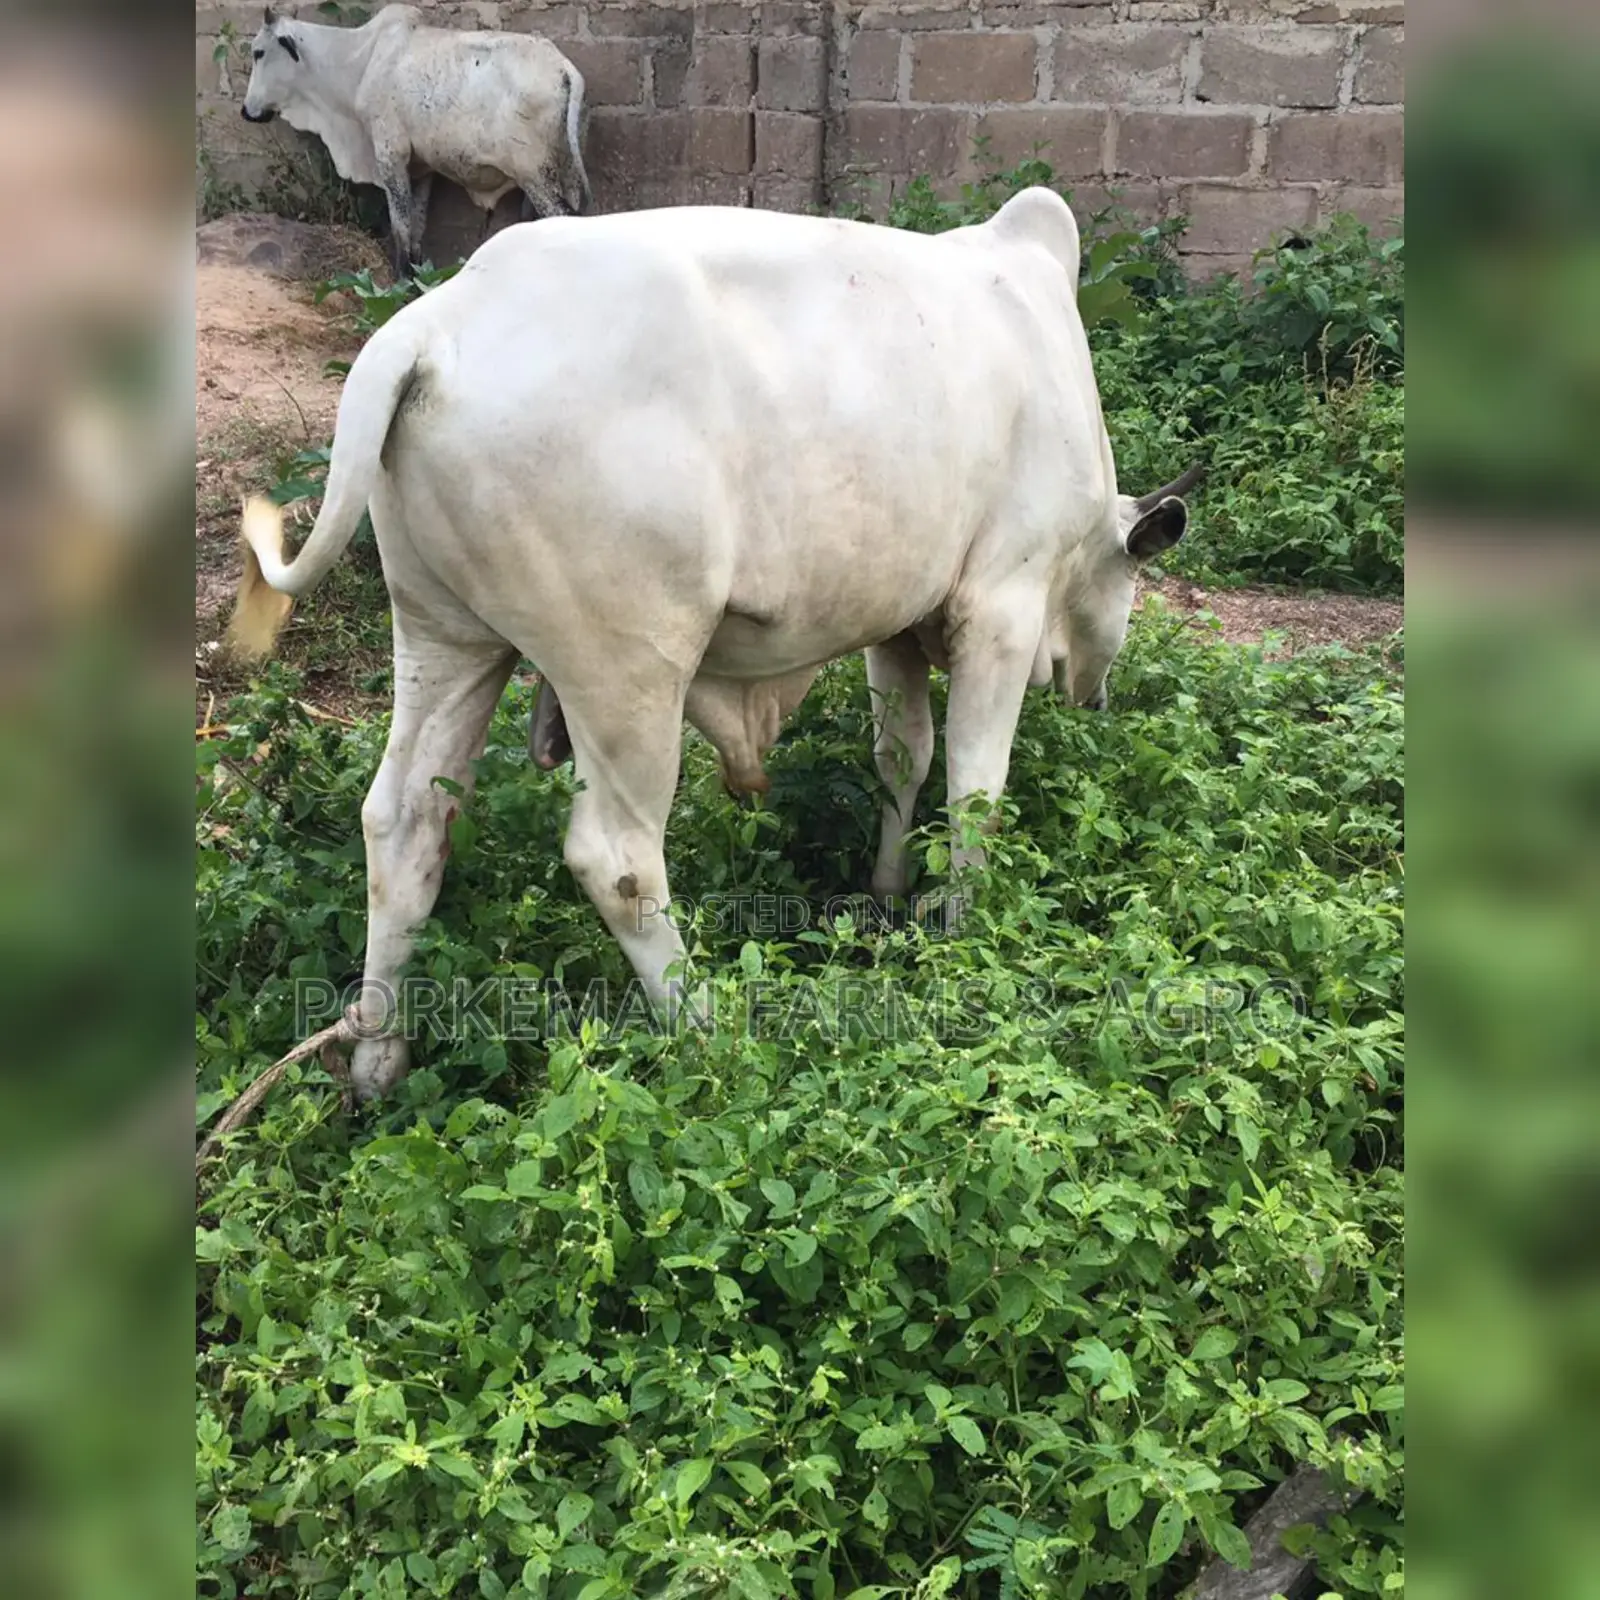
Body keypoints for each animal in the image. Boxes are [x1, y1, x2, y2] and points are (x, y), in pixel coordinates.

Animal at [224, 190, 1199, 1101]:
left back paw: (377, 1062)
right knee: (615, 855)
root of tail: (433, 327)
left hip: (444, 635)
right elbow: (973, 791)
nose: (1096, 696)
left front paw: (887, 896)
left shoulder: (897, 622)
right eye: (1130, 579)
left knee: (403, 822)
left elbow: (903, 756)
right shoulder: (1002, 604)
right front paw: (960, 927)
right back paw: (707, 1032)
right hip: (627, 670)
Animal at [240, 4, 590, 277]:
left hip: (535, 174)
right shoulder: (421, 169)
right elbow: (417, 229)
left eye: (259, 52)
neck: (360, 63)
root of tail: (566, 70)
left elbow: (401, 227)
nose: (246, 111)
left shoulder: (389, 154)